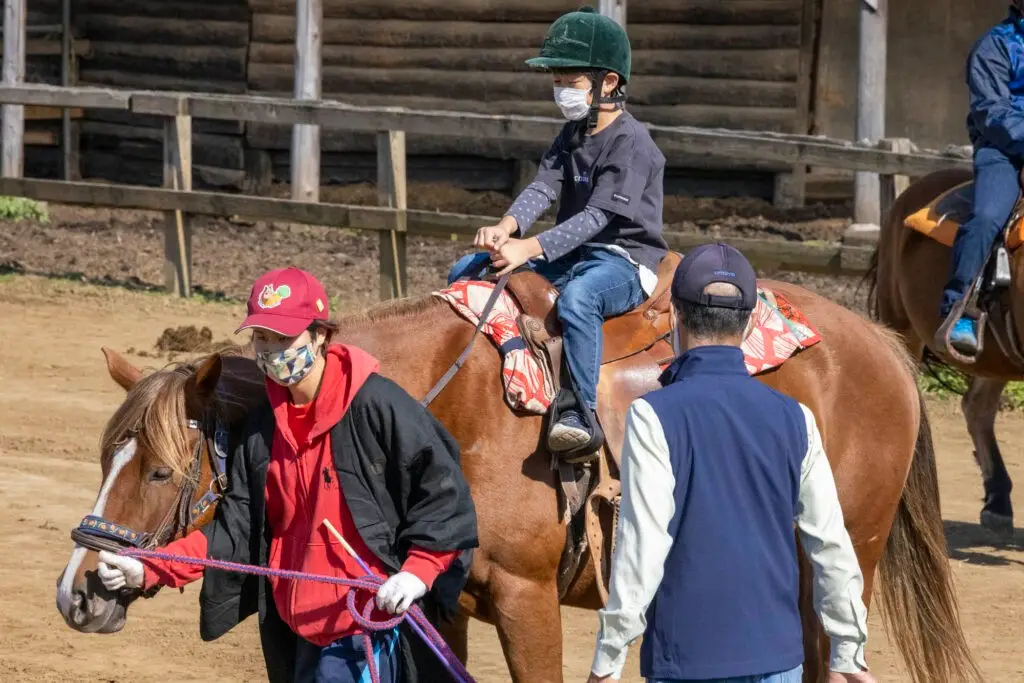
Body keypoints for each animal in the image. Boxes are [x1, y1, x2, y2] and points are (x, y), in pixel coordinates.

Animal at [54, 278, 974, 683]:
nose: (81, 587)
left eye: (161, 468)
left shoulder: (529, 601)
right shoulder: (435, 604)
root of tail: (884, 348)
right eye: (104, 459)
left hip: (838, 566)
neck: (447, 407)